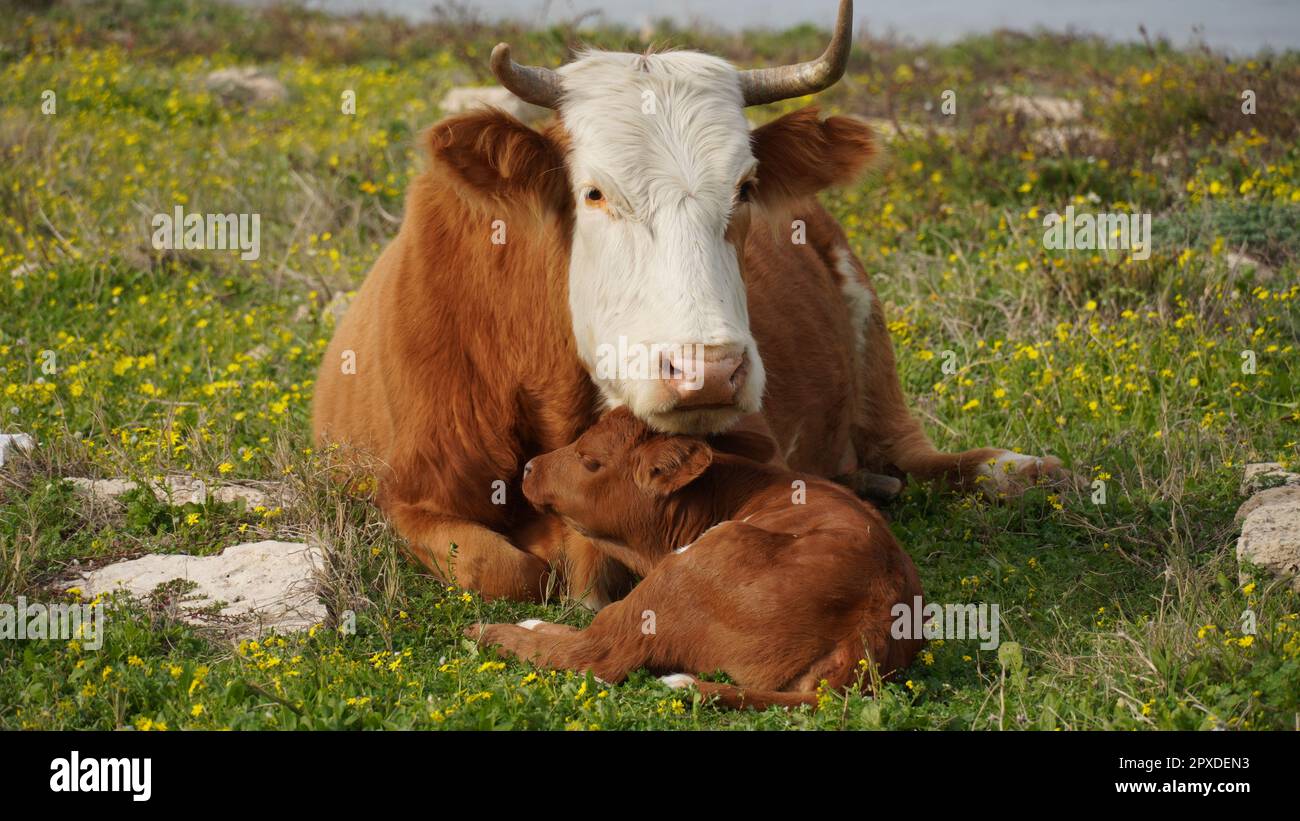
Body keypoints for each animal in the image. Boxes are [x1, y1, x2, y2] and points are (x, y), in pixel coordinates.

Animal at [309, 0, 1060, 602]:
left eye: (746, 186)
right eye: (594, 192)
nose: (709, 370)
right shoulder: (411, 494)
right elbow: (508, 568)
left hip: (869, 332)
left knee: (912, 451)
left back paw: (1017, 470)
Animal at [467, 407, 925, 706]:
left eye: (590, 460)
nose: (529, 467)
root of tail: (873, 624)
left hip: (690, 569)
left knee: (596, 652)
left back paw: (489, 631)